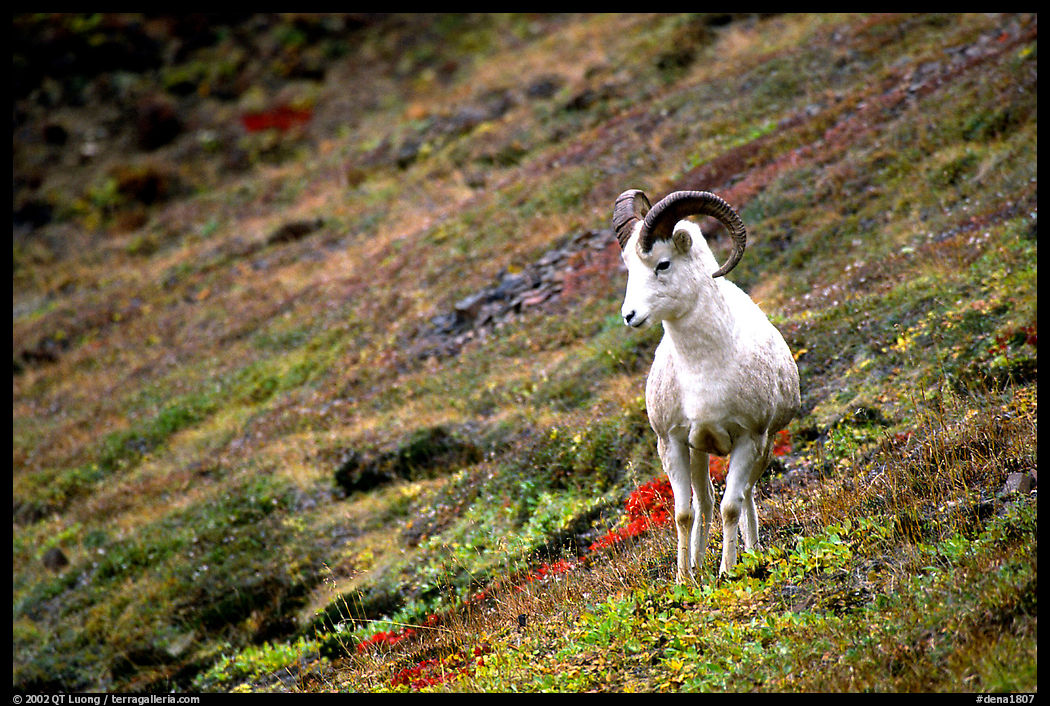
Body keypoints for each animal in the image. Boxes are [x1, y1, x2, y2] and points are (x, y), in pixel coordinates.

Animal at [613, 189, 800, 583]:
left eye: (663, 264)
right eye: (630, 269)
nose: (630, 316)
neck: (702, 370)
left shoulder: (749, 439)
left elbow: (732, 506)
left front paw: (728, 571)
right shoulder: (672, 443)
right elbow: (684, 513)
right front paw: (684, 579)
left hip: (763, 447)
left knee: (745, 495)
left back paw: (751, 552)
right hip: (698, 450)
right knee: (704, 503)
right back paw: (699, 565)